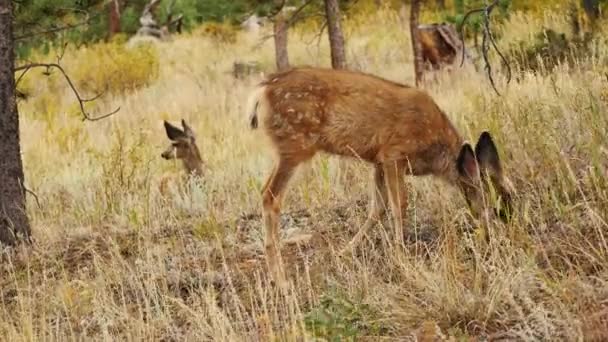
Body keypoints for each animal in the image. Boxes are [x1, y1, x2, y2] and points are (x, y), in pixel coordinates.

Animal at [246, 67, 512, 286]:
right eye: (495, 206)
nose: (499, 236)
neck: (434, 152)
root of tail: (261, 92)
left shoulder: (378, 162)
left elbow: (378, 207)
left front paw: (345, 251)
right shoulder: (394, 154)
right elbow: (399, 205)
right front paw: (401, 256)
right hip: (295, 146)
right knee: (270, 195)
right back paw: (280, 279)